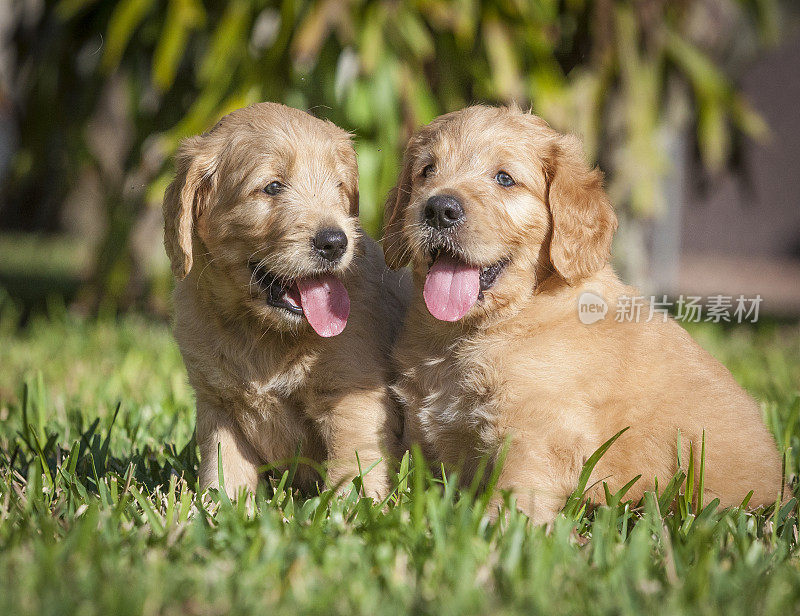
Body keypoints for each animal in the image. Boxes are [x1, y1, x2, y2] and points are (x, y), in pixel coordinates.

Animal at [165, 102, 410, 500]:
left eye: (338, 186)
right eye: (273, 187)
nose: (335, 242)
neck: (261, 333)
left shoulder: (353, 401)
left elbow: (352, 471)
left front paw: (348, 513)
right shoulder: (218, 408)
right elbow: (222, 475)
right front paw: (215, 511)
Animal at [384, 103, 784, 524]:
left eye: (504, 179)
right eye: (427, 170)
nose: (438, 208)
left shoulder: (538, 430)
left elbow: (516, 497)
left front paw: (496, 531)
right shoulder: (425, 429)